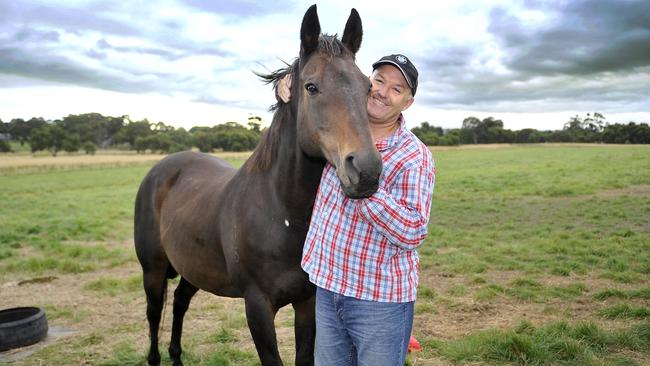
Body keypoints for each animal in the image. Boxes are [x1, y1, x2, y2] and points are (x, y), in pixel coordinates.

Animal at [135, 5, 382, 366]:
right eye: (311, 87)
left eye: (368, 89)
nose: (366, 171)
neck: (283, 213)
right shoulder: (257, 307)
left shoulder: (307, 302)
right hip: (152, 270)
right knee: (155, 314)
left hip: (193, 268)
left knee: (180, 302)